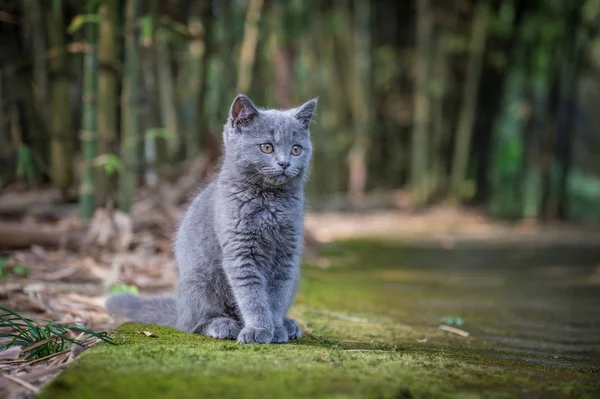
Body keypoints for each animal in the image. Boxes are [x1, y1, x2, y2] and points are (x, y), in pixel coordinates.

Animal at [106, 94, 318, 344]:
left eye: (296, 149)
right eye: (267, 147)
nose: (285, 163)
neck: (269, 202)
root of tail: (180, 308)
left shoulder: (287, 256)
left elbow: (277, 297)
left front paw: (276, 329)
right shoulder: (241, 252)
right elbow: (252, 295)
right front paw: (258, 329)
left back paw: (288, 324)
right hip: (202, 281)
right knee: (192, 324)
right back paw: (223, 325)